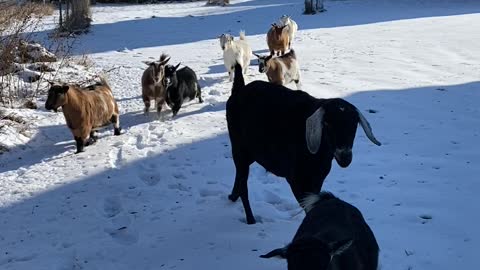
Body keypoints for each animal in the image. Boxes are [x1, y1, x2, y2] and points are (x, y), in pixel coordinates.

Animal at [227, 62, 380, 224]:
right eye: (327, 124)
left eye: (354, 124)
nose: (345, 158)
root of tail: (239, 90)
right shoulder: (297, 179)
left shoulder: (317, 178)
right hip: (238, 147)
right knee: (243, 183)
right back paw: (250, 219)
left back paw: (233, 197)